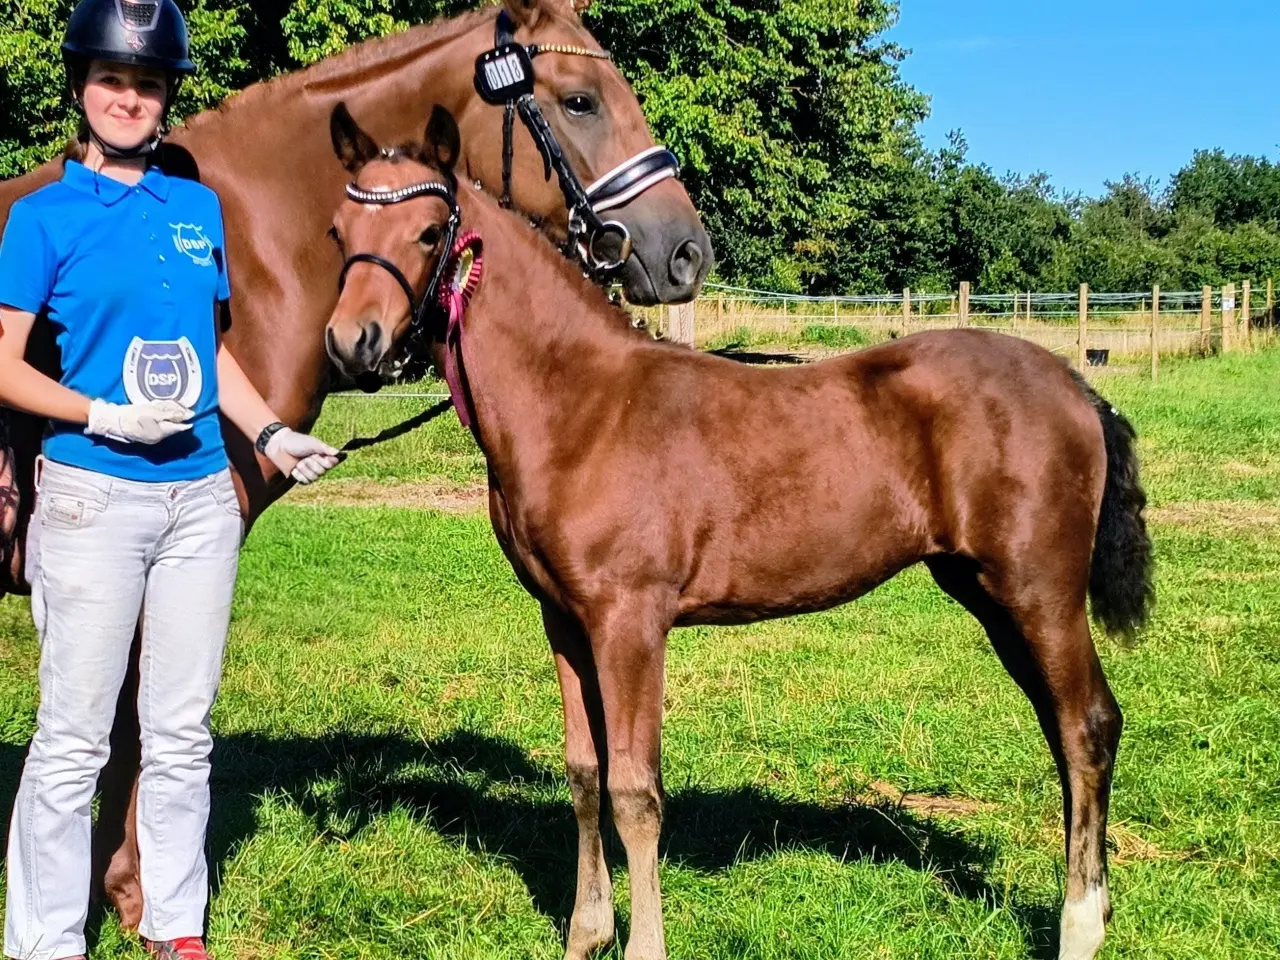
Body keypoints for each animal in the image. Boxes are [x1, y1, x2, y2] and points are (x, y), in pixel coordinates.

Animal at [325, 107, 1154, 960]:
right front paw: (586, 934)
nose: (352, 343)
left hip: (1039, 592)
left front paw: (642, 946)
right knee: (1063, 729)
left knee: (1087, 726)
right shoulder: (563, 620)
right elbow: (585, 774)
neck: (582, 406)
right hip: (990, 595)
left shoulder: (629, 623)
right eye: (337, 230)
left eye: (430, 232)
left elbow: (635, 790)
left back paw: (1079, 925)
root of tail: (1078, 388)